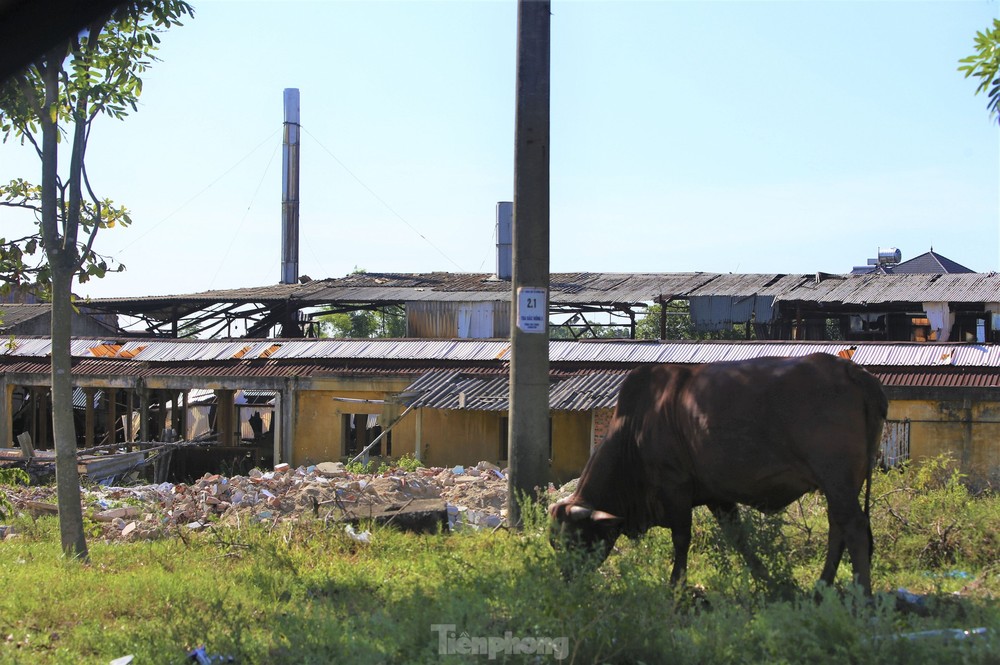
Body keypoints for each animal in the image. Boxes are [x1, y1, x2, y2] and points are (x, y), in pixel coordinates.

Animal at [552, 352, 888, 592]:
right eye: (555, 543)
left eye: (575, 539)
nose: (565, 580)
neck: (634, 428)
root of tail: (852, 370)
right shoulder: (718, 497)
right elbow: (739, 540)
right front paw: (772, 582)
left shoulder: (674, 486)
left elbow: (681, 539)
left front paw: (676, 586)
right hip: (841, 484)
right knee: (838, 528)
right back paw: (821, 588)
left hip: (836, 478)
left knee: (854, 528)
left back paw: (863, 598)